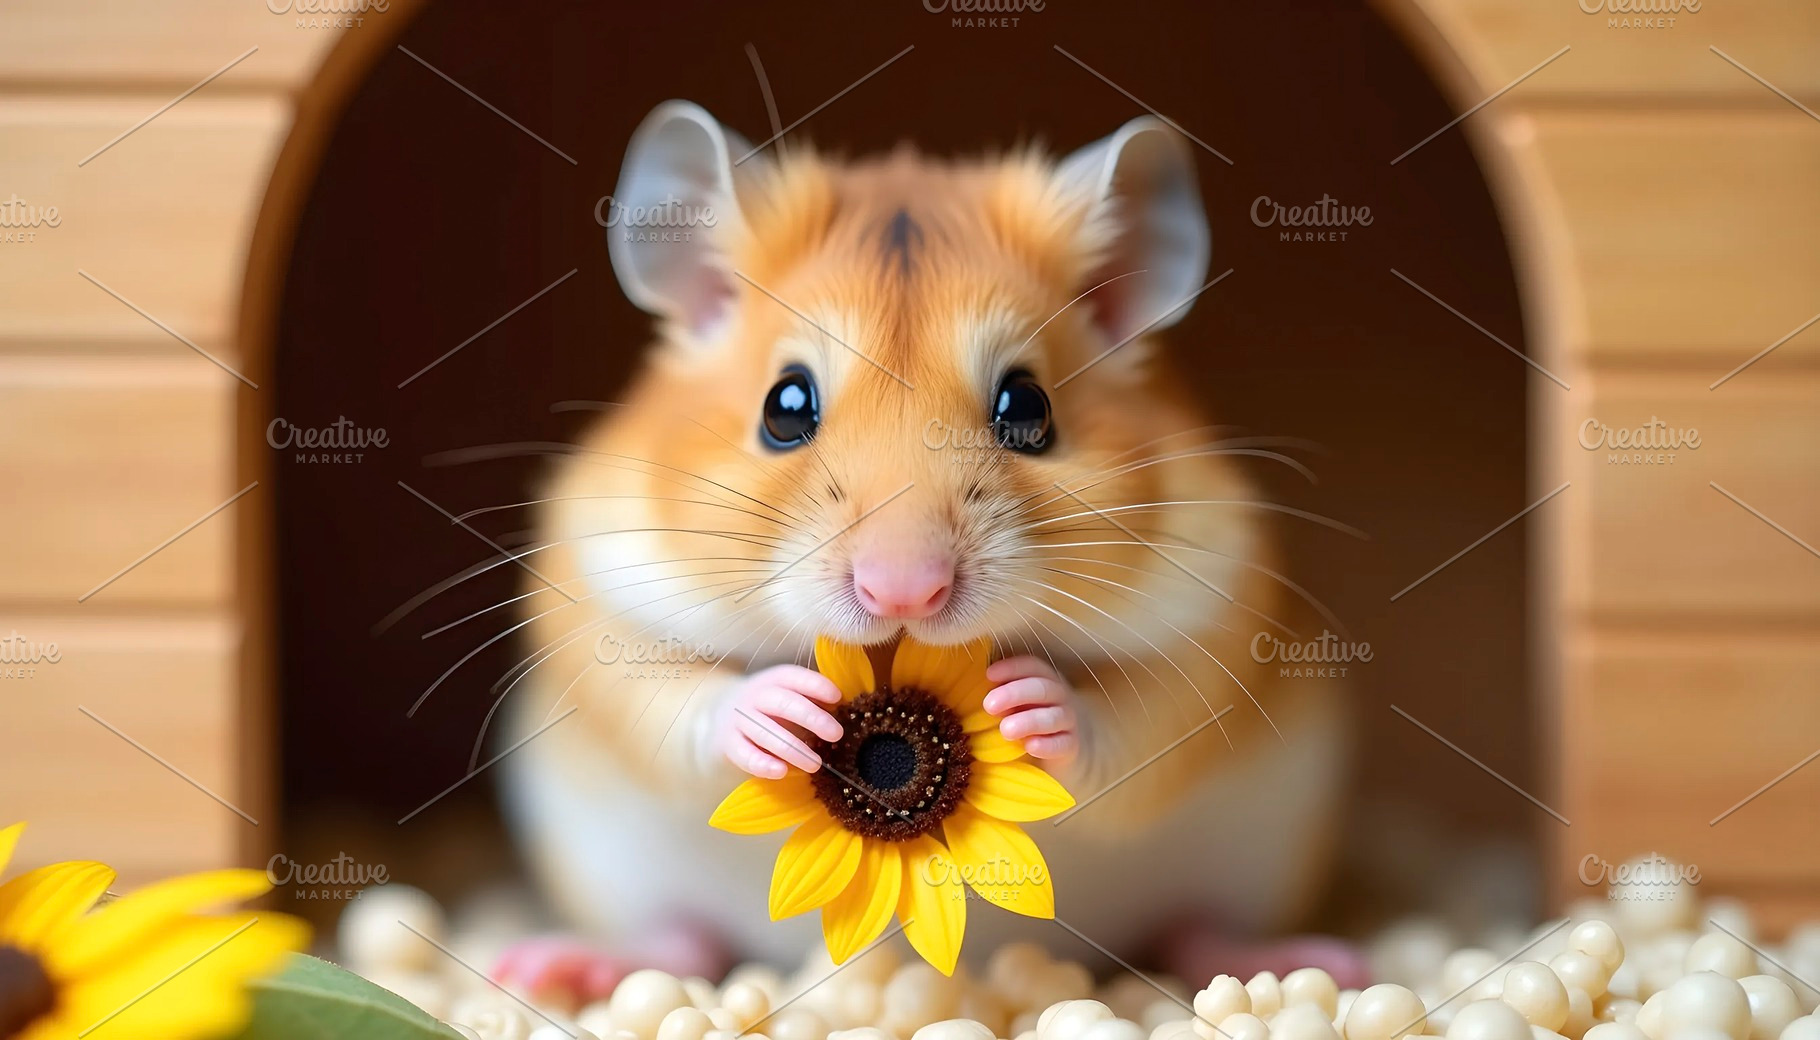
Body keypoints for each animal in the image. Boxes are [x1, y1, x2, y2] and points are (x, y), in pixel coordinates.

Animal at [492, 100, 1353, 996]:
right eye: (784, 406)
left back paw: (1310, 960)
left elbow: (1139, 720)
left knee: (1193, 932)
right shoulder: (593, 594)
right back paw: (550, 963)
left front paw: (1029, 704)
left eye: (1027, 407)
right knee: (683, 940)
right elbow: (672, 696)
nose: (904, 592)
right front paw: (786, 714)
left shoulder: (1223, 618)